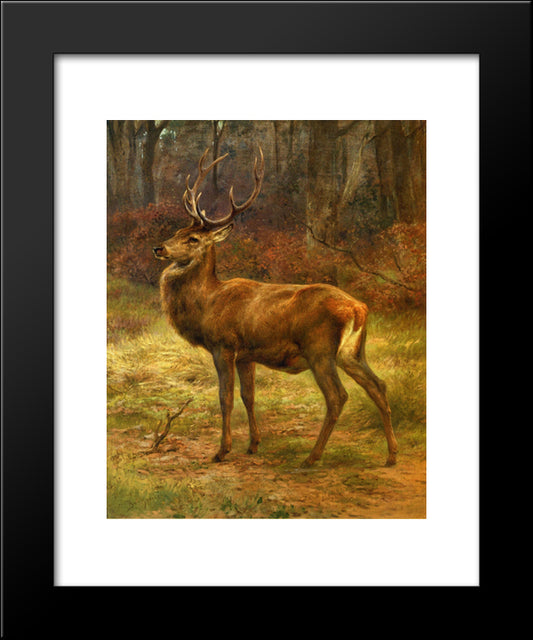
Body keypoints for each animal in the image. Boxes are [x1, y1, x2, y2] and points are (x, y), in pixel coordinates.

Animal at [153, 146, 398, 467]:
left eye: (193, 238)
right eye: (177, 231)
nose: (159, 248)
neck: (208, 304)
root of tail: (359, 309)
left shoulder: (223, 345)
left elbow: (225, 397)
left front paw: (222, 451)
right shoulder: (246, 355)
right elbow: (249, 396)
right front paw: (253, 444)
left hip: (320, 349)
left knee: (337, 396)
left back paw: (312, 457)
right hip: (353, 352)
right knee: (378, 386)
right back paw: (392, 455)